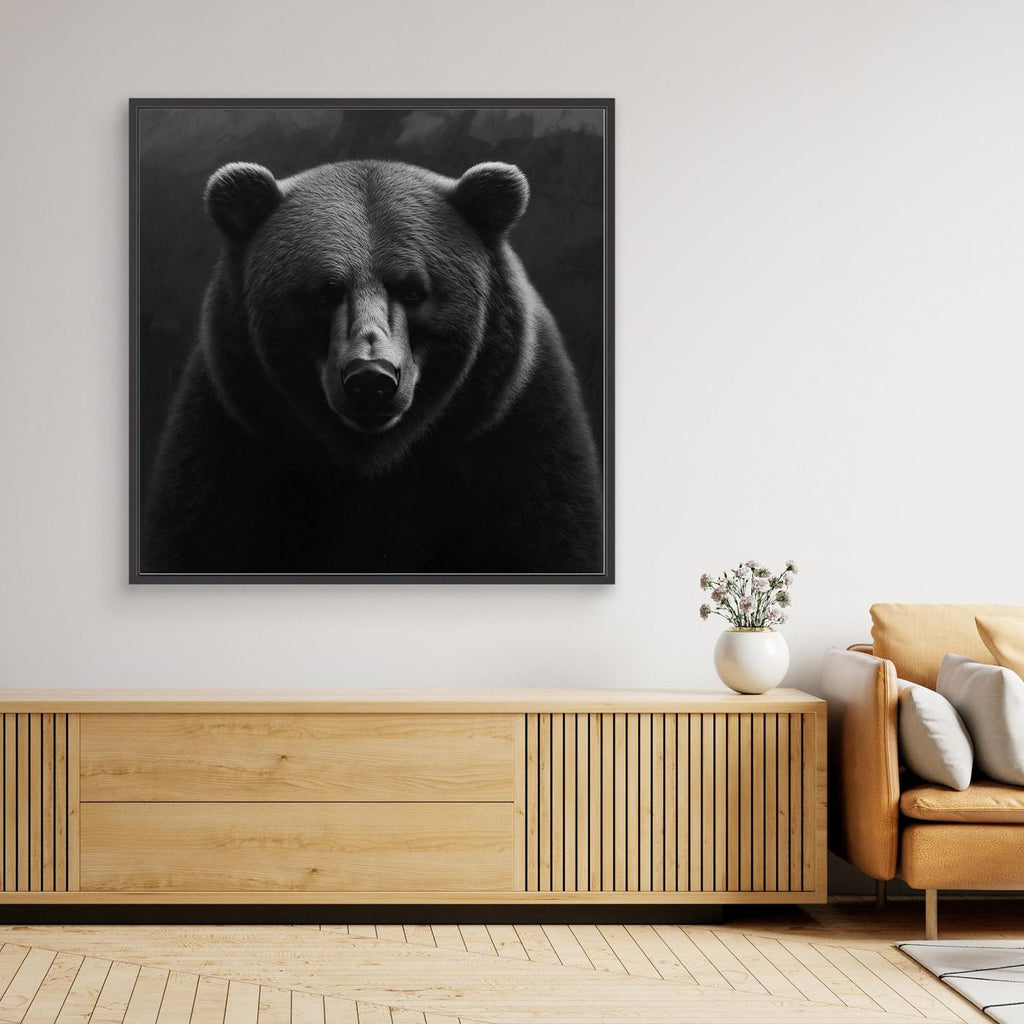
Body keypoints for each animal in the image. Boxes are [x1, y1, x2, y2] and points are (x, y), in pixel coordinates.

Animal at [142, 158, 604, 576]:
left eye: (414, 289)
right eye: (325, 291)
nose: (370, 379)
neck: (375, 460)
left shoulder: (514, 432)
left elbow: (552, 527)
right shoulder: (233, 437)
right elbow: (199, 531)